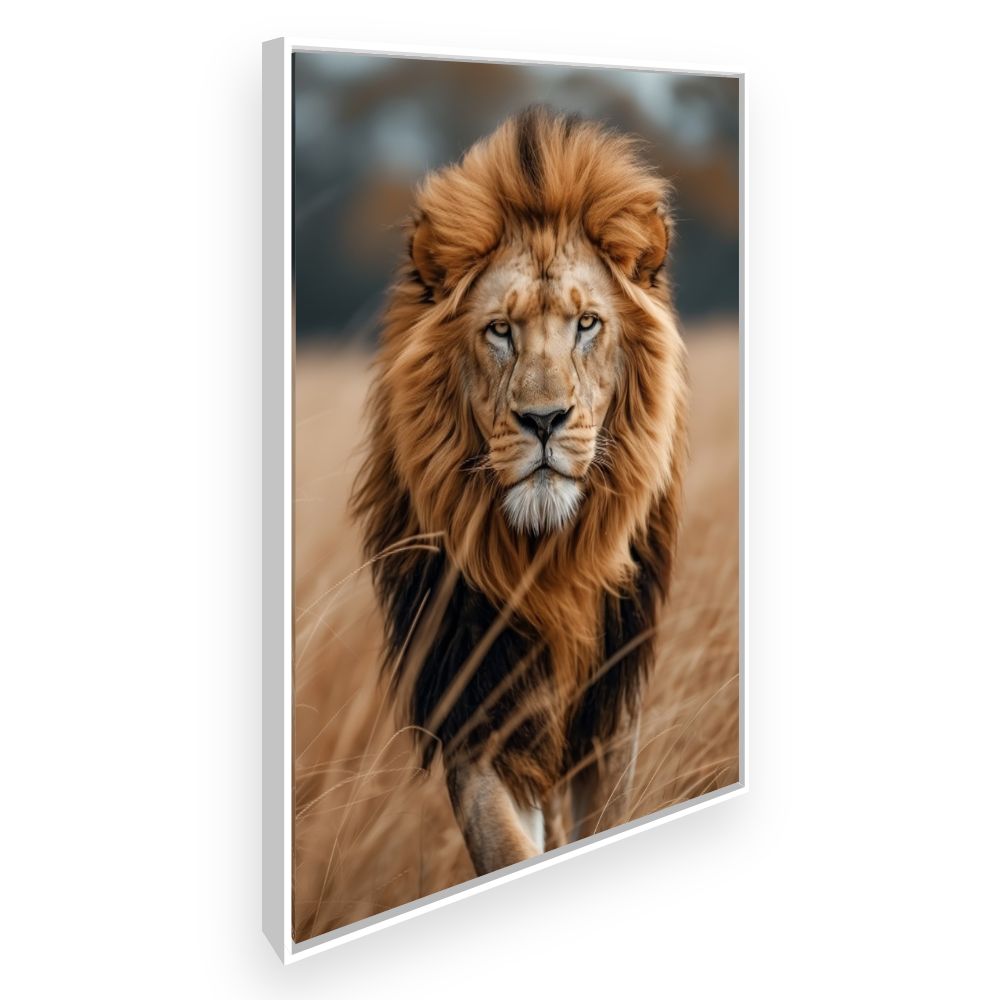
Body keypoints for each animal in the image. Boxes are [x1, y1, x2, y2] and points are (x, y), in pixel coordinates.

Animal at [350, 106, 689, 877]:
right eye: (499, 331)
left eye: (587, 324)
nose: (543, 420)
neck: (547, 564)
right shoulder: (476, 705)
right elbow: (505, 846)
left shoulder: (609, 718)